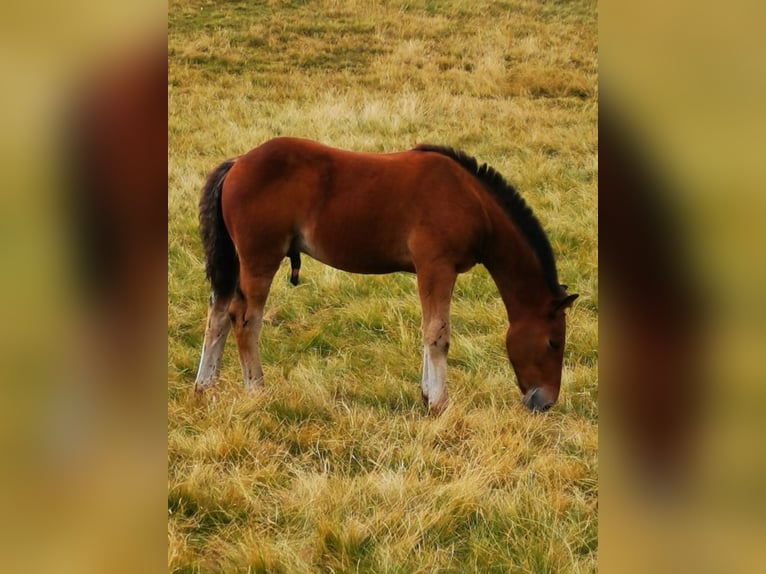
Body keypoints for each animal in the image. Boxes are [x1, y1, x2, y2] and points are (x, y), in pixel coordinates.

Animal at [192, 139, 576, 414]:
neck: (471, 200)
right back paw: (256, 389)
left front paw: (427, 395)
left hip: (237, 263)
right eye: (553, 343)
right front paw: (440, 403)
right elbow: (437, 334)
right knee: (245, 320)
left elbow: (428, 330)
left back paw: (205, 386)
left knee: (218, 315)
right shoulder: (436, 266)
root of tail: (238, 163)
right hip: (260, 260)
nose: (546, 402)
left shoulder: (430, 271)